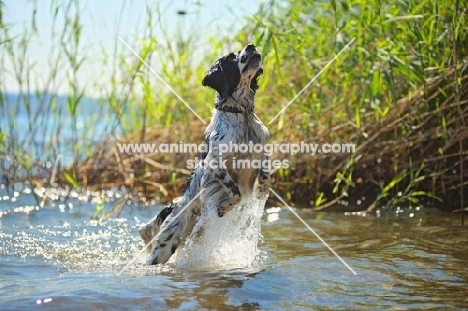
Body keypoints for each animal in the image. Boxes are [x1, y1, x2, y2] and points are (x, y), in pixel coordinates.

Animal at [138, 44, 270, 266]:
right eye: (231, 57)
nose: (251, 45)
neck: (240, 114)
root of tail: (174, 205)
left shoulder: (263, 149)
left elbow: (266, 177)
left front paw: (261, 189)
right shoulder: (213, 162)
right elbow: (235, 192)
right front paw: (224, 207)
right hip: (166, 244)